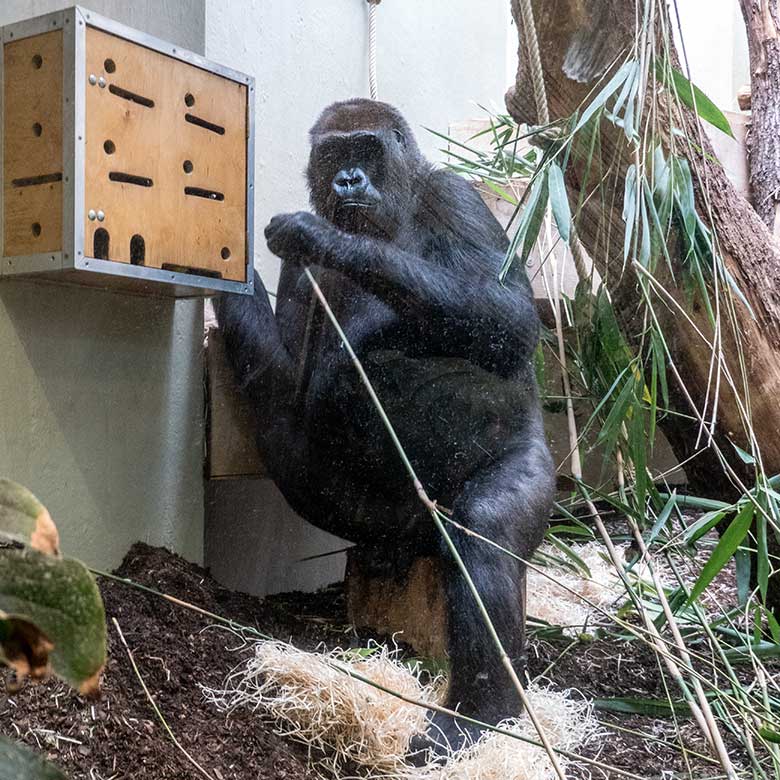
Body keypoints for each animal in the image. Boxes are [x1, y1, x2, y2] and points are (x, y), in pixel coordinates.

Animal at [213, 99, 556, 756]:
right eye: (334, 155)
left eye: (366, 151)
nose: (348, 181)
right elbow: (284, 379)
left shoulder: (457, 198)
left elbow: (510, 319)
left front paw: (328, 239)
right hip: (369, 521)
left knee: (486, 532)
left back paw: (480, 713)